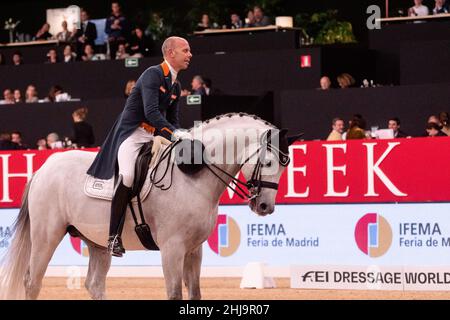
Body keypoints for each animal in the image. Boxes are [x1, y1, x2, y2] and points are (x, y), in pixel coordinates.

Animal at [0, 113, 296, 300]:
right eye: (269, 161)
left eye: (286, 165)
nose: (265, 206)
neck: (193, 175)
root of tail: (44, 168)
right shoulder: (172, 248)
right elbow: (174, 293)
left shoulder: (194, 250)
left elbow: (195, 293)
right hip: (46, 237)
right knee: (32, 282)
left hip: (96, 242)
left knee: (94, 285)